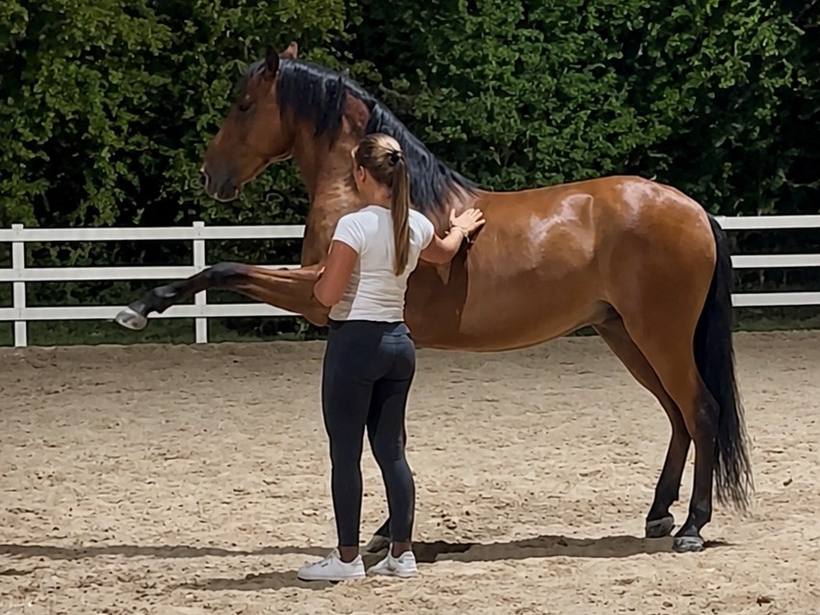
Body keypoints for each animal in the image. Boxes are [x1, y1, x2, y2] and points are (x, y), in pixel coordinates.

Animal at [115, 43, 752, 553]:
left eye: (245, 104)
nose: (209, 176)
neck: (373, 196)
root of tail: (693, 209)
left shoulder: (318, 296)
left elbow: (223, 266)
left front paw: (140, 308)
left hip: (658, 334)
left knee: (701, 410)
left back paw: (691, 527)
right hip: (624, 333)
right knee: (676, 415)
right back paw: (658, 514)